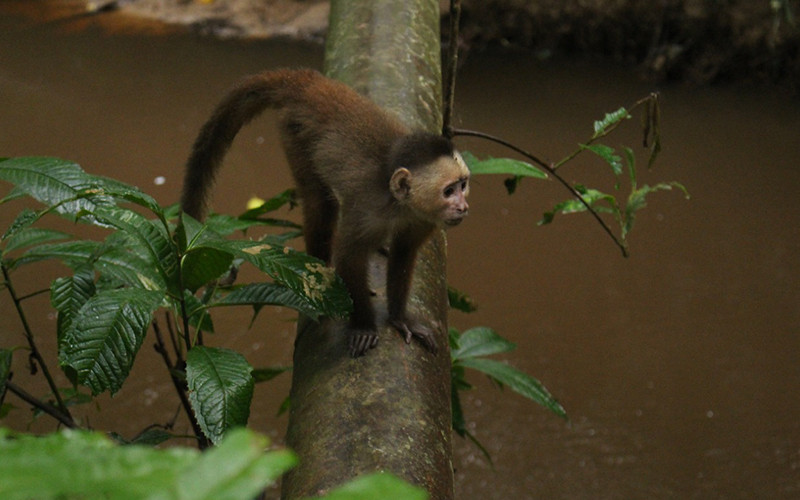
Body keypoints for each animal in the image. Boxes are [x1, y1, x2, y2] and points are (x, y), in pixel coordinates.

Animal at [181, 69, 468, 356]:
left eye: (463, 185)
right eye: (448, 191)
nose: (463, 207)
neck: (400, 204)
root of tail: (308, 83)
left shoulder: (424, 219)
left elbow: (404, 253)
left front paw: (400, 318)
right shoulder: (370, 209)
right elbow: (349, 257)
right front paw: (363, 325)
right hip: (295, 131)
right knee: (320, 202)